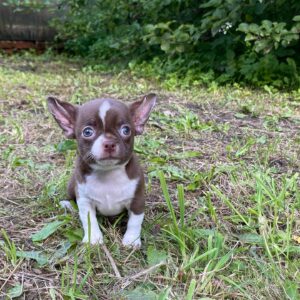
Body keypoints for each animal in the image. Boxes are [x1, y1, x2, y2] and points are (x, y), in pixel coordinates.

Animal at [48, 94, 156, 246]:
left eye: (126, 130)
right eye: (87, 132)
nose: (109, 143)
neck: (108, 173)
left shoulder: (137, 199)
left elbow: (135, 221)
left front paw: (131, 241)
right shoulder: (85, 200)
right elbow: (89, 220)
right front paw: (93, 239)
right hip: (71, 185)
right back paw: (67, 204)